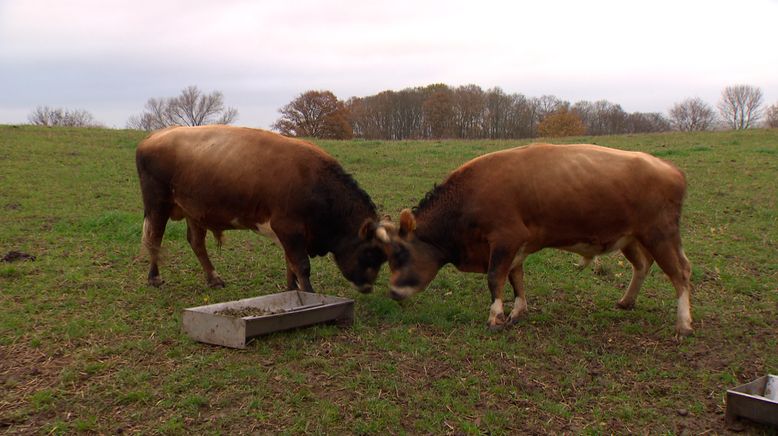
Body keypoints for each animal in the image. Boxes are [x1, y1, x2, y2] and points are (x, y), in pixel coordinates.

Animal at [138, 125, 388, 292]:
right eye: (369, 252)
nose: (368, 287)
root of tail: (153, 137)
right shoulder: (288, 227)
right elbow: (301, 265)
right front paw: (310, 296)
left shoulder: (291, 234)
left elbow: (290, 264)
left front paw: (292, 291)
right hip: (157, 205)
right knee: (155, 239)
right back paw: (154, 277)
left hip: (194, 210)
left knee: (196, 243)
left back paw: (214, 278)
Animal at [376, 143, 692, 338]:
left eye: (400, 255)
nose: (392, 292)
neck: (466, 201)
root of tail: (669, 168)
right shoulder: (516, 247)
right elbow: (516, 279)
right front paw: (517, 311)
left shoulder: (505, 239)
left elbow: (495, 277)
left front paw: (495, 317)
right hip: (632, 238)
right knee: (643, 264)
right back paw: (627, 301)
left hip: (660, 235)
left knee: (680, 273)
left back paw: (684, 323)